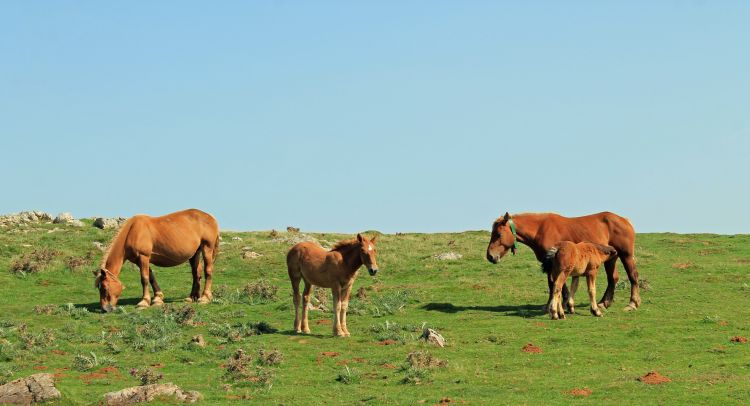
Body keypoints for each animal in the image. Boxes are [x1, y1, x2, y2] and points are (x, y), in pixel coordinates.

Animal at [490, 213, 644, 310]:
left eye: (498, 234)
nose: (490, 256)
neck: (541, 230)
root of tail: (624, 220)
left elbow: (555, 284)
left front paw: (556, 305)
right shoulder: (550, 264)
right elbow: (556, 284)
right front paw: (560, 303)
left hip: (626, 255)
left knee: (633, 276)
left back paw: (632, 303)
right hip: (611, 258)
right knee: (613, 278)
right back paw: (603, 303)